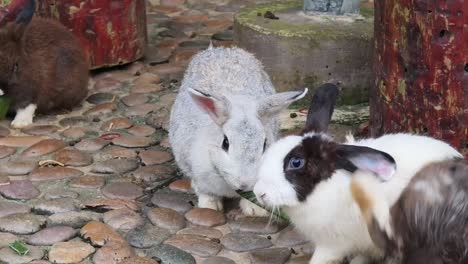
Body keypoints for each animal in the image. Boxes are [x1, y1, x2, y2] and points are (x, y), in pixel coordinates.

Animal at [168, 46, 308, 214]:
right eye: (225, 143)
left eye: (265, 144)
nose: (244, 184)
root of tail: (221, 49)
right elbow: (206, 192)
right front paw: (210, 206)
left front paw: (255, 210)